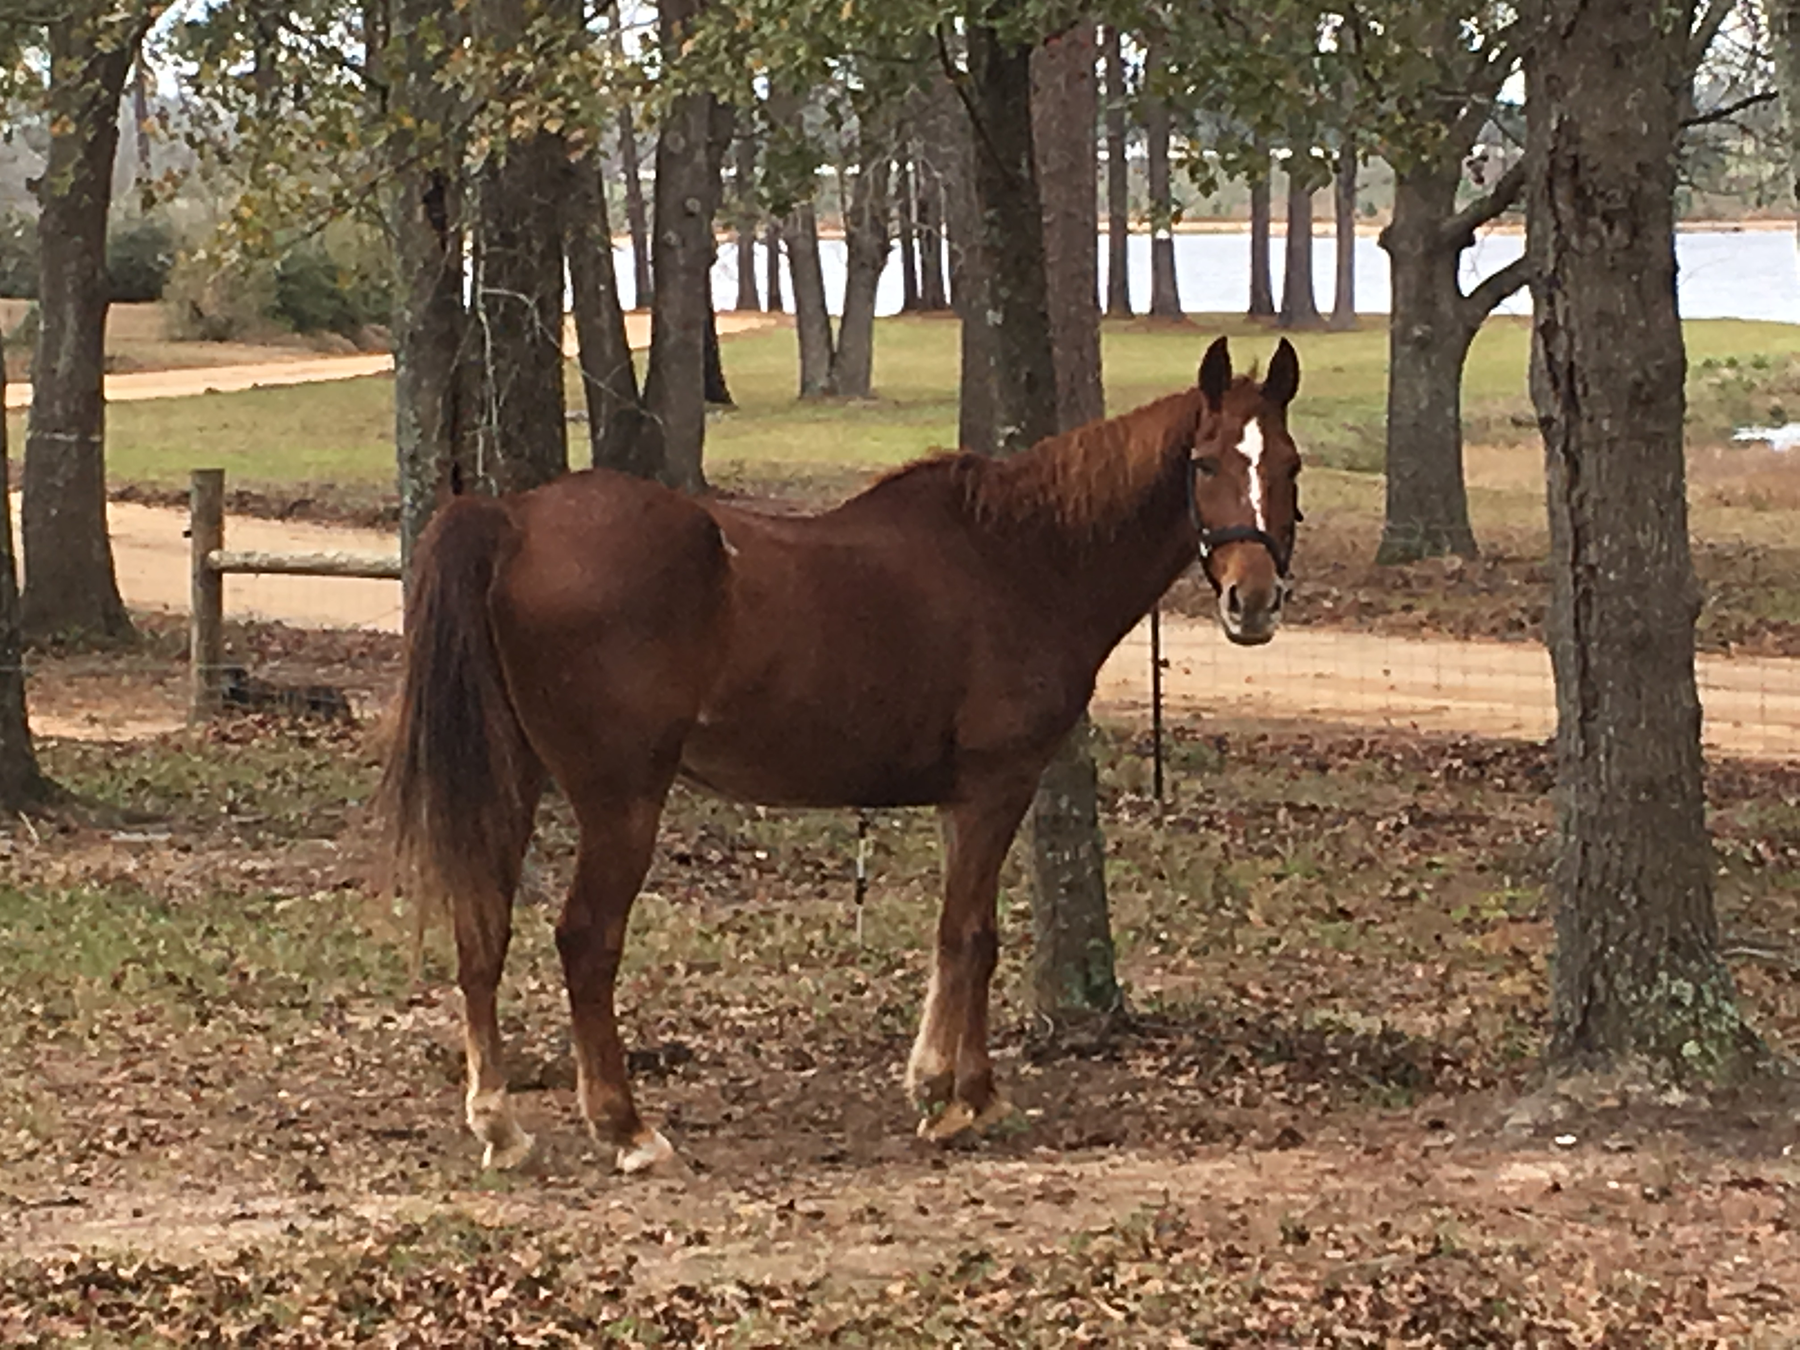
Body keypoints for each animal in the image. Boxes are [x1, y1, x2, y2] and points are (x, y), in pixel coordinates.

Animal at [379, 335, 1304, 1175]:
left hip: (514, 775)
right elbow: (970, 933)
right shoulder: (998, 784)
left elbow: (964, 937)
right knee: (584, 939)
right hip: (621, 798)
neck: (1021, 559)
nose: (1252, 602)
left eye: (1290, 465)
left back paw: (500, 1125)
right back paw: (627, 1130)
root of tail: (513, 520)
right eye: (1206, 461)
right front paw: (957, 1100)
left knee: (483, 926)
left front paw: (952, 1084)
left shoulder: (961, 797)